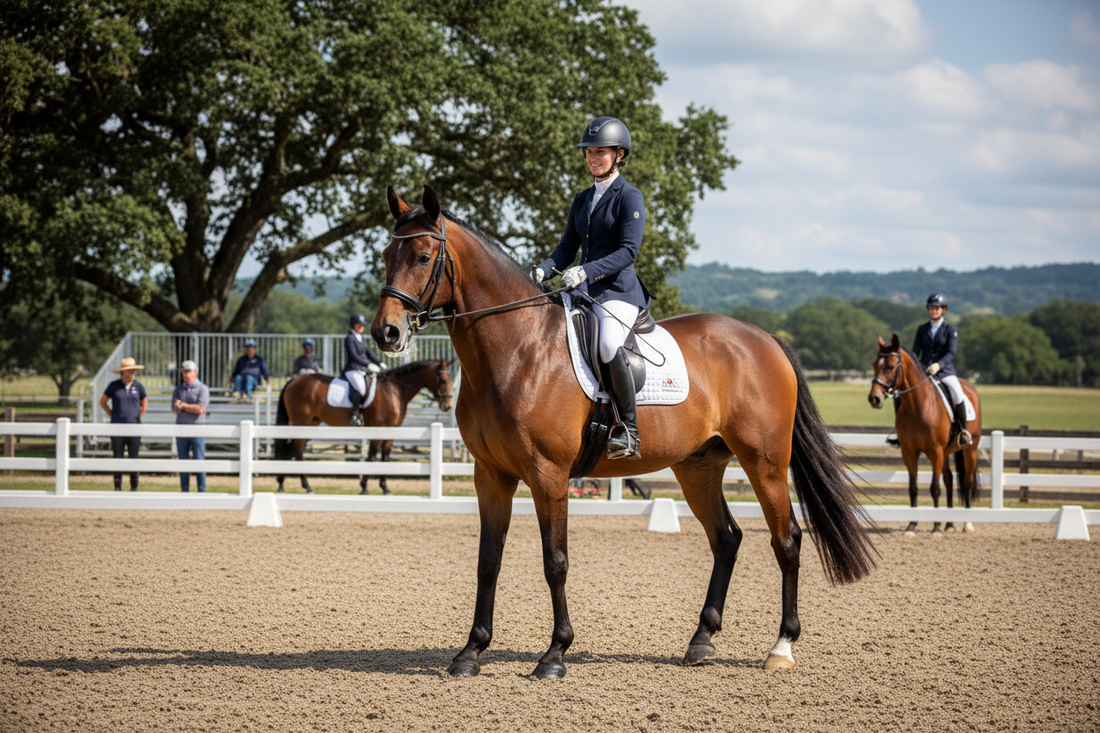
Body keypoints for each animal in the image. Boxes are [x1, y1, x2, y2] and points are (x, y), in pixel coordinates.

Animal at [273, 360, 454, 494]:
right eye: (443, 380)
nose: (448, 406)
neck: (394, 390)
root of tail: (293, 380)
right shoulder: (378, 429)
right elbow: (372, 456)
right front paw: (365, 487)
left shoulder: (391, 431)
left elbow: (385, 457)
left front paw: (385, 488)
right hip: (301, 423)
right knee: (297, 450)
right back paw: (307, 486)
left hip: (311, 424)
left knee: (292, 449)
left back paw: (282, 484)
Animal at [370, 185, 877, 679]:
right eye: (385, 255)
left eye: (422, 257)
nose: (386, 333)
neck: (518, 349)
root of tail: (765, 339)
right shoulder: (490, 475)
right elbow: (488, 562)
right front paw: (471, 652)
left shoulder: (549, 475)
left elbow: (555, 562)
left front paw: (555, 655)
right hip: (698, 466)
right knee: (726, 538)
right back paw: (701, 640)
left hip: (765, 461)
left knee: (786, 539)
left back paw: (781, 647)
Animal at [867, 335, 982, 534]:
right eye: (875, 364)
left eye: (890, 366)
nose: (874, 398)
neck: (918, 406)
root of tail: (970, 388)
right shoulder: (909, 452)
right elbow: (913, 488)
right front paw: (912, 525)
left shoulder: (935, 451)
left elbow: (934, 488)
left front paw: (935, 527)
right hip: (946, 453)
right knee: (949, 480)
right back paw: (949, 524)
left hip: (970, 449)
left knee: (966, 481)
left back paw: (966, 524)